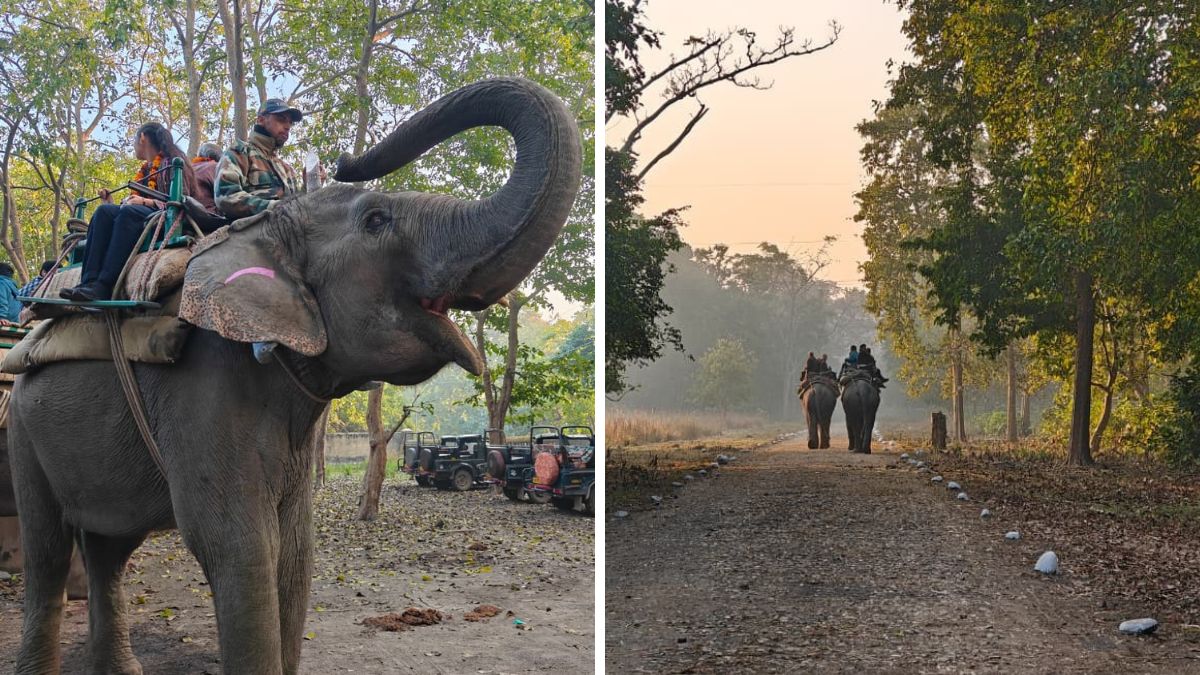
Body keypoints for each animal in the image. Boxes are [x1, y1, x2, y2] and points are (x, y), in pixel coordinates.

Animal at [9, 77, 580, 675]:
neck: (256, 231)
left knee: (108, 547)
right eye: (377, 220)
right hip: (23, 426)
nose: (345, 159)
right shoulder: (201, 387)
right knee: (48, 548)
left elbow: (295, 552)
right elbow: (236, 547)